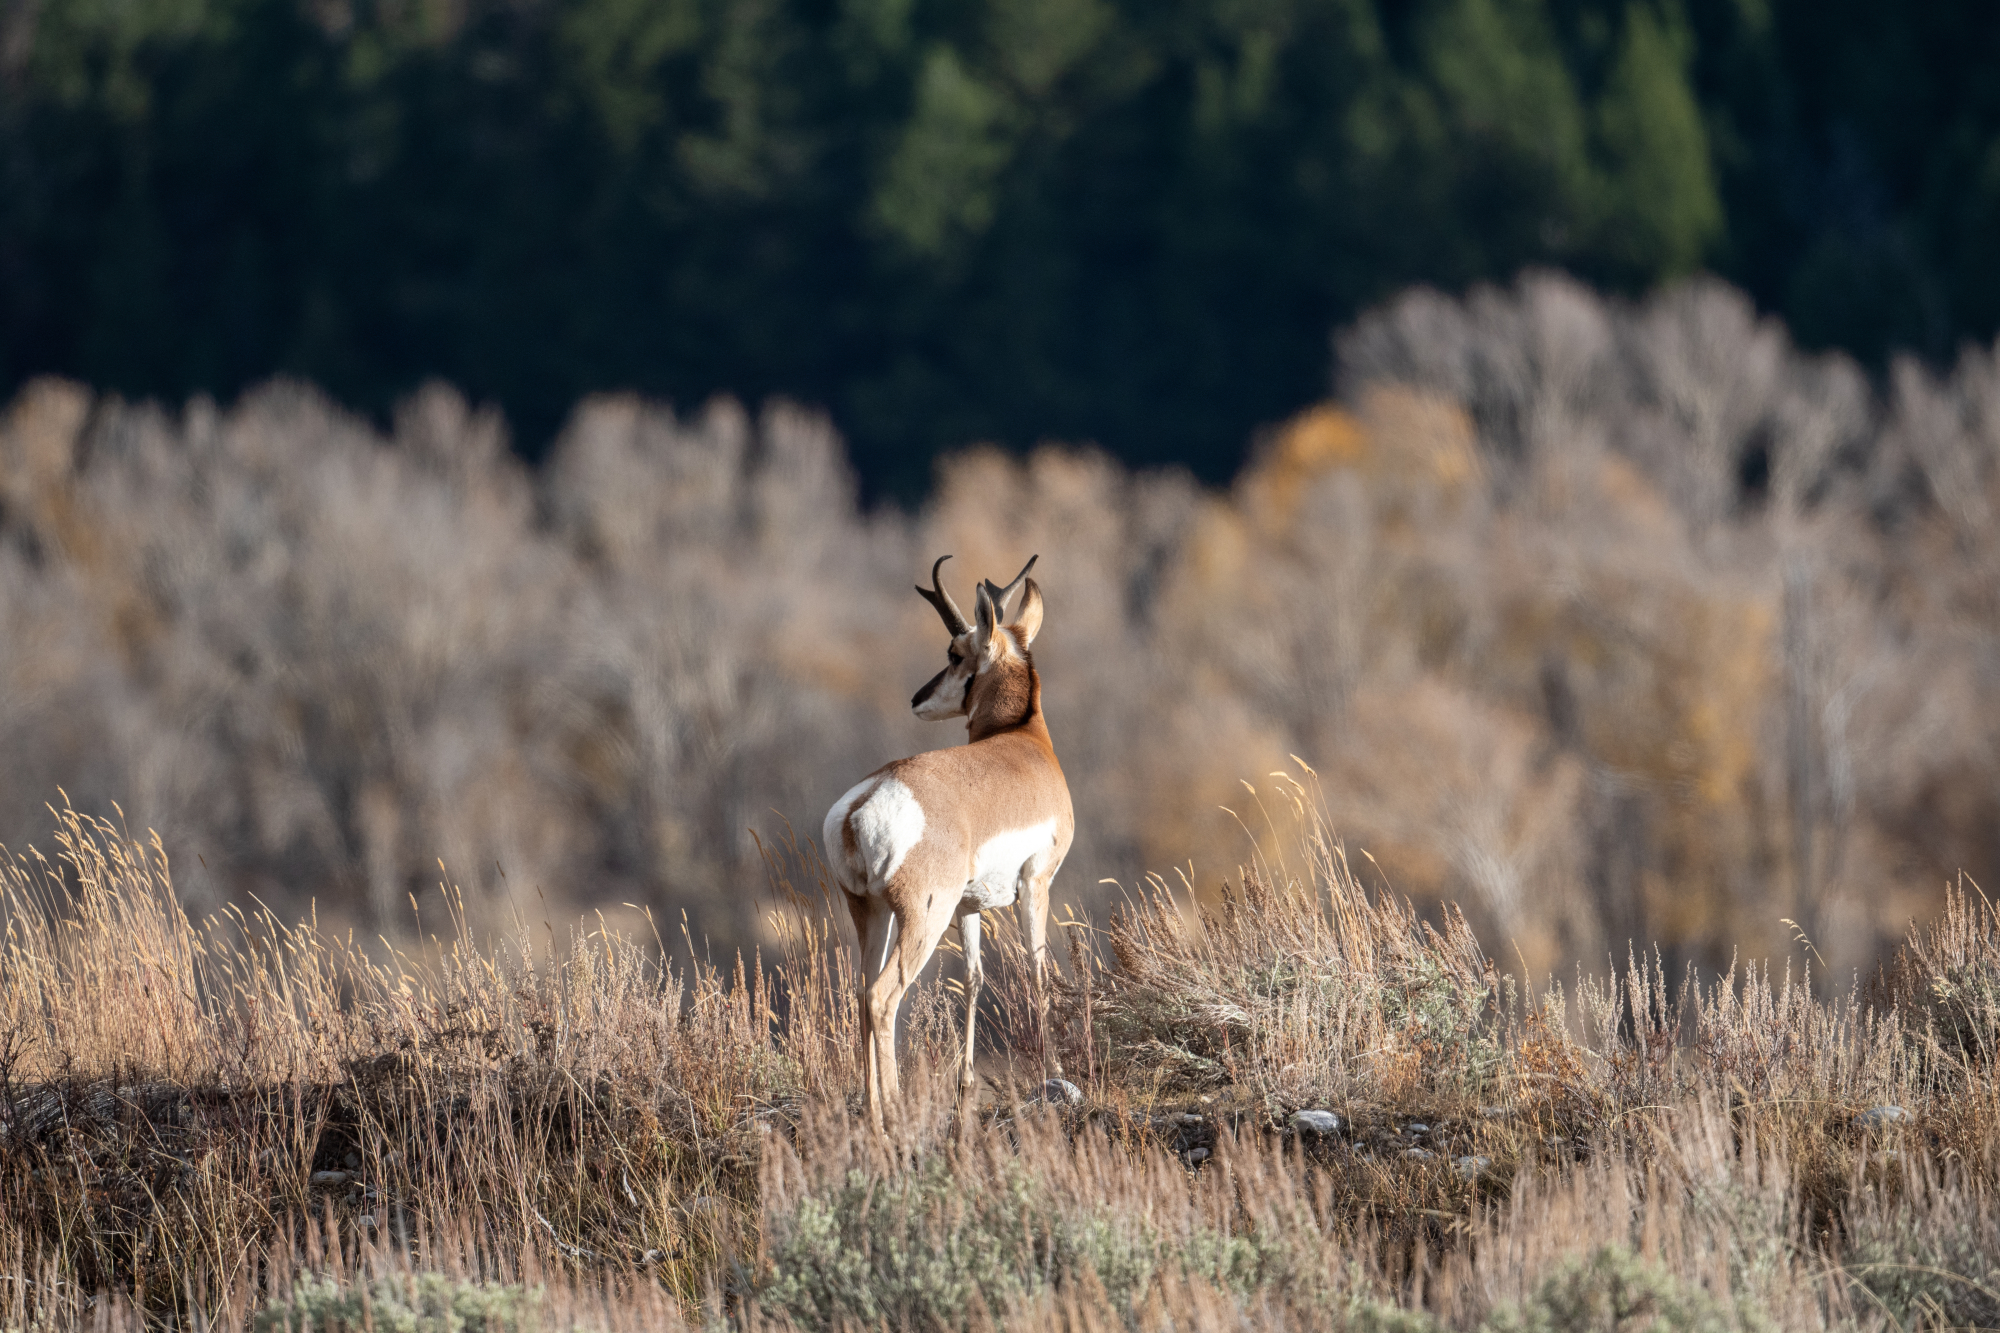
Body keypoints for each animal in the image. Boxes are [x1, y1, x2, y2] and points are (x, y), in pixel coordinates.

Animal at [823, 555, 1074, 1128]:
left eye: (955, 654)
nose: (917, 699)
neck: (1023, 741)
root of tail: (866, 800)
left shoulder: (969, 906)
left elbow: (976, 979)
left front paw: (965, 1088)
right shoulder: (1035, 885)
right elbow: (1038, 970)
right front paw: (1056, 1075)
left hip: (872, 914)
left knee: (861, 992)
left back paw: (872, 1112)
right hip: (922, 919)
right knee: (883, 997)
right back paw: (894, 1112)